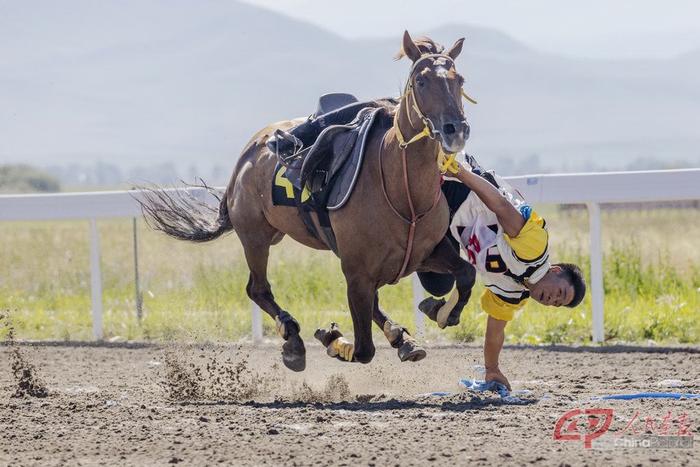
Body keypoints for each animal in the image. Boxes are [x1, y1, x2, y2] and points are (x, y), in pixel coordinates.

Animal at [137, 31, 476, 372]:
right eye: (421, 81)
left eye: (459, 79)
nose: (455, 129)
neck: (403, 192)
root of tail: (248, 151)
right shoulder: (356, 270)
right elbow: (364, 349)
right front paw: (332, 339)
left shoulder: (425, 251)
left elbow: (466, 274)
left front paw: (440, 312)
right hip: (255, 236)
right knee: (257, 288)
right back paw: (292, 339)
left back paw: (399, 338)